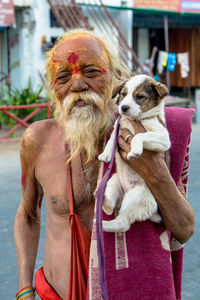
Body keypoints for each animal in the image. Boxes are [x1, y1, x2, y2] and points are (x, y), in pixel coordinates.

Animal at [97, 74, 170, 232]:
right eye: (123, 94)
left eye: (140, 96)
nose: (123, 107)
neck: (135, 119)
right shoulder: (119, 126)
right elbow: (111, 139)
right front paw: (106, 154)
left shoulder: (163, 137)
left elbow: (139, 135)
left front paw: (134, 151)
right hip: (114, 181)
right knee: (110, 208)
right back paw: (102, 200)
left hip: (136, 196)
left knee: (123, 223)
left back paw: (102, 224)